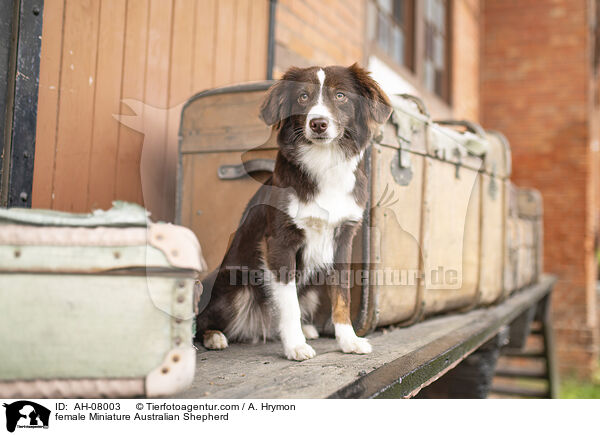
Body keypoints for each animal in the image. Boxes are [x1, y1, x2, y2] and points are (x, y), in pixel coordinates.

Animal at [197, 62, 394, 362]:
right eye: (303, 96)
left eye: (340, 96)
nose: (318, 123)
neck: (324, 163)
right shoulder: (280, 242)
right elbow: (288, 302)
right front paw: (295, 346)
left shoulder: (343, 240)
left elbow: (342, 296)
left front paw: (348, 340)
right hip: (235, 290)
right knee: (201, 321)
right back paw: (215, 337)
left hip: (311, 289)